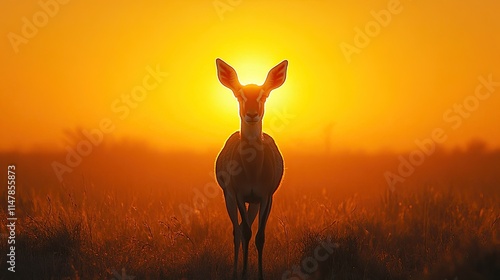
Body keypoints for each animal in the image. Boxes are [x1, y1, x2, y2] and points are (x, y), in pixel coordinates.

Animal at [215, 58, 290, 278]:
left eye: (263, 95)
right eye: (239, 94)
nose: (251, 114)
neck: (252, 170)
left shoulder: (265, 196)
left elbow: (260, 236)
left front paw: (260, 274)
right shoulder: (239, 194)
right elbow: (246, 233)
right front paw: (243, 273)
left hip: (254, 203)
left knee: (242, 226)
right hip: (229, 197)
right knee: (237, 230)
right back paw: (234, 271)